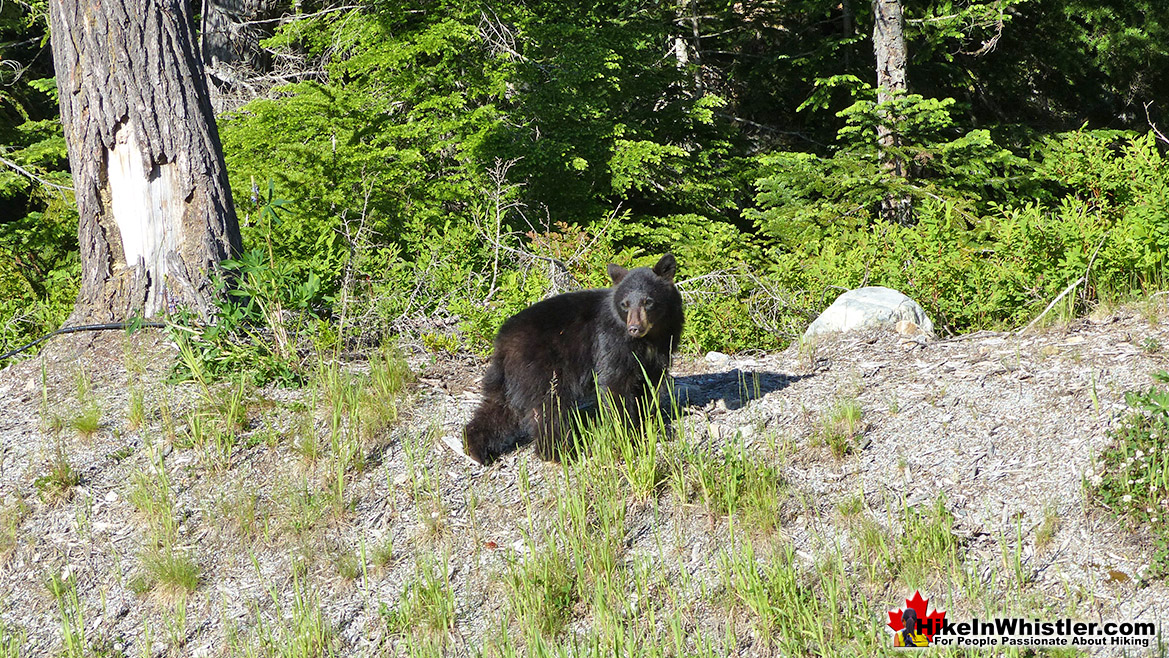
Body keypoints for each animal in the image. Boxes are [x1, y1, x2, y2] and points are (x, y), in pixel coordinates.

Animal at [462, 252, 682, 462]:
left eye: (648, 302)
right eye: (625, 304)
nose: (634, 328)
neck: (650, 338)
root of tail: (502, 341)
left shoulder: (661, 348)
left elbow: (650, 386)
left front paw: (653, 425)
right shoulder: (611, 341)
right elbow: (615, 384)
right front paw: (627, 433)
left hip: (509, 377)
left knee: (499, 408)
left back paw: (475, 447)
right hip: (542, 368)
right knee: (549, 408)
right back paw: (559, 451)